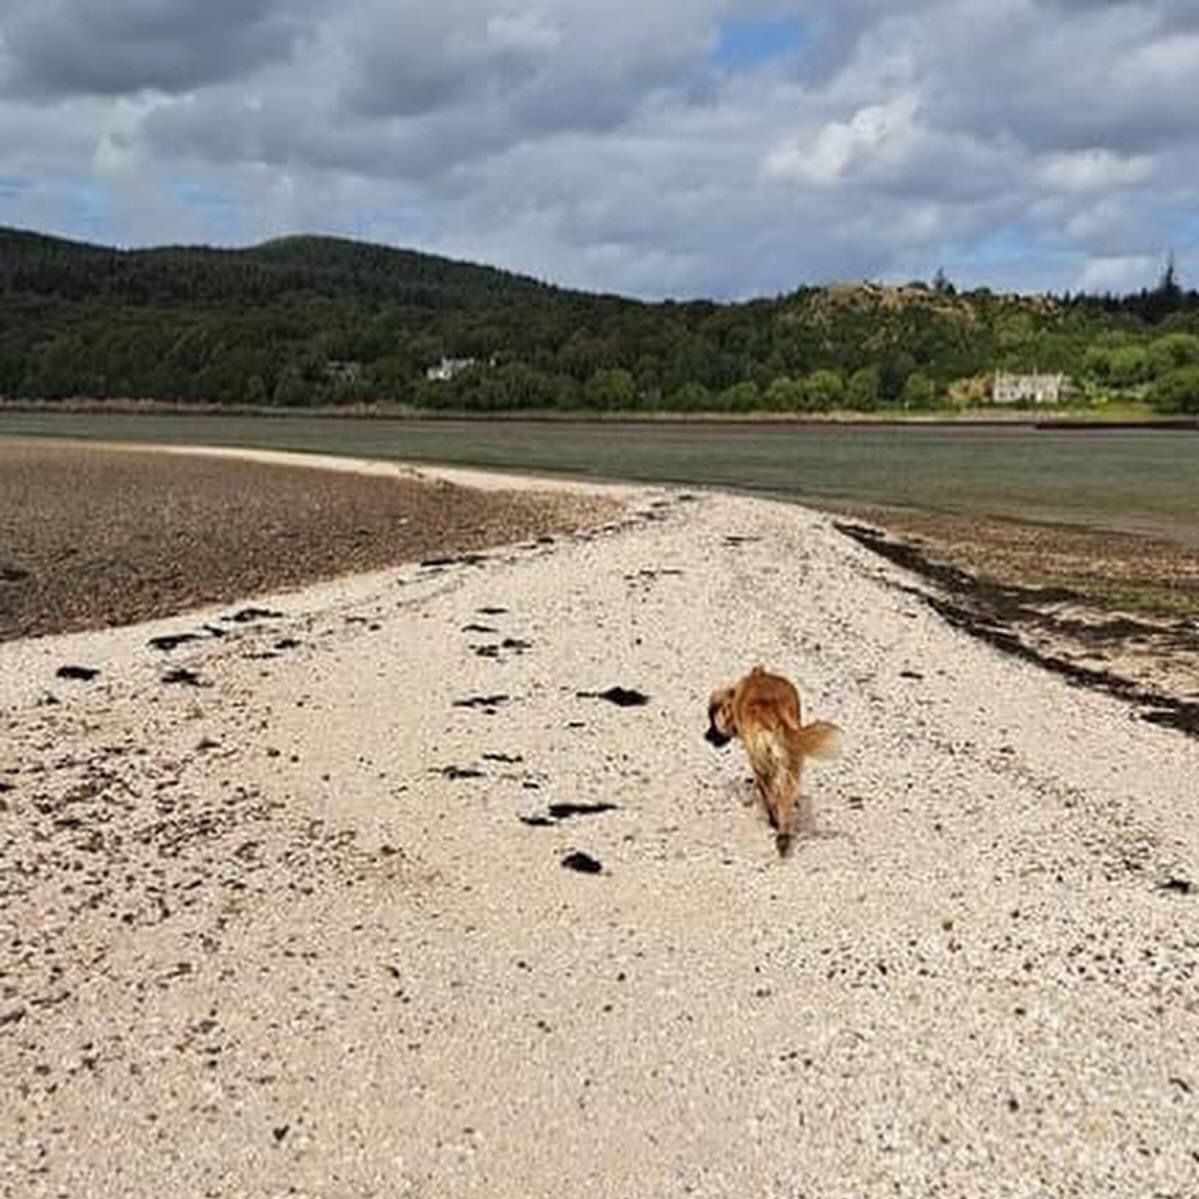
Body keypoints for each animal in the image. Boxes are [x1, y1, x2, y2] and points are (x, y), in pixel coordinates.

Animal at [700, 666, 844, 853]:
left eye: (712, 720)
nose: (706, 736)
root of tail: (772, 715)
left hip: (763, 764)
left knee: (771, 795)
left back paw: (775, 823)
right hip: (790, 762)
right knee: (785, 797)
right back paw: (783, 834)